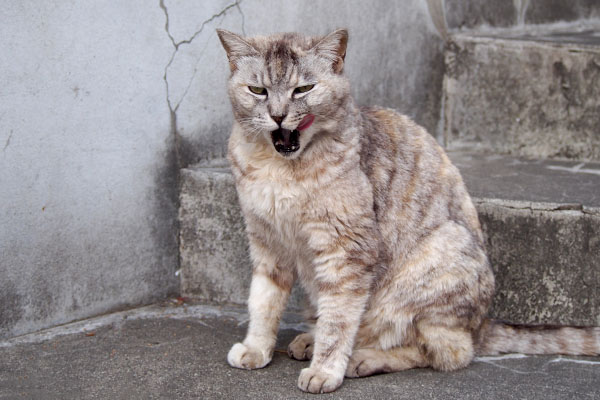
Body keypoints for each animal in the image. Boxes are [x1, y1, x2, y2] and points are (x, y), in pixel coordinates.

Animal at [213, 28, 596, 394]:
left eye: (303, 89)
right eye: (258, 90)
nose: (278, 116)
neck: (278, 167)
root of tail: (482, 325)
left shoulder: (347, 252)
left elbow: (338, 321)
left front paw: (325, 371)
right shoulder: (266, 243)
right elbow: (263, 302)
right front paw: (257, 349)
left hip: (439, 256)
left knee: (443, 351)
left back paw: (363, 358)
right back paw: (310, 340)